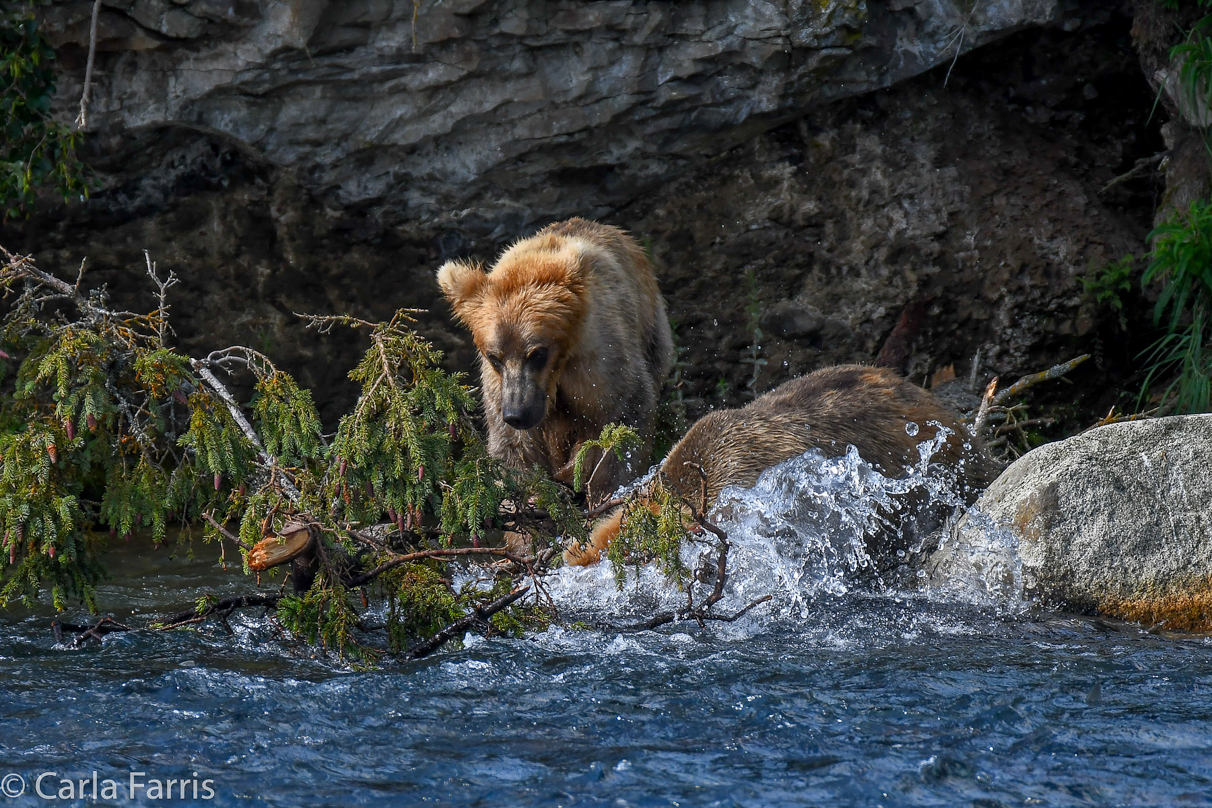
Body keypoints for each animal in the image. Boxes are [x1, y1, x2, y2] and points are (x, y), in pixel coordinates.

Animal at [438, 218, 683, 501]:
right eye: (494, 357)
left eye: (537, 352)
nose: (517, 413)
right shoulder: (498, 386)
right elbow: (513, 443)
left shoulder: (599, 360)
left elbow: (626, 411)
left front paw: (607, 487)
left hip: (652, 332)